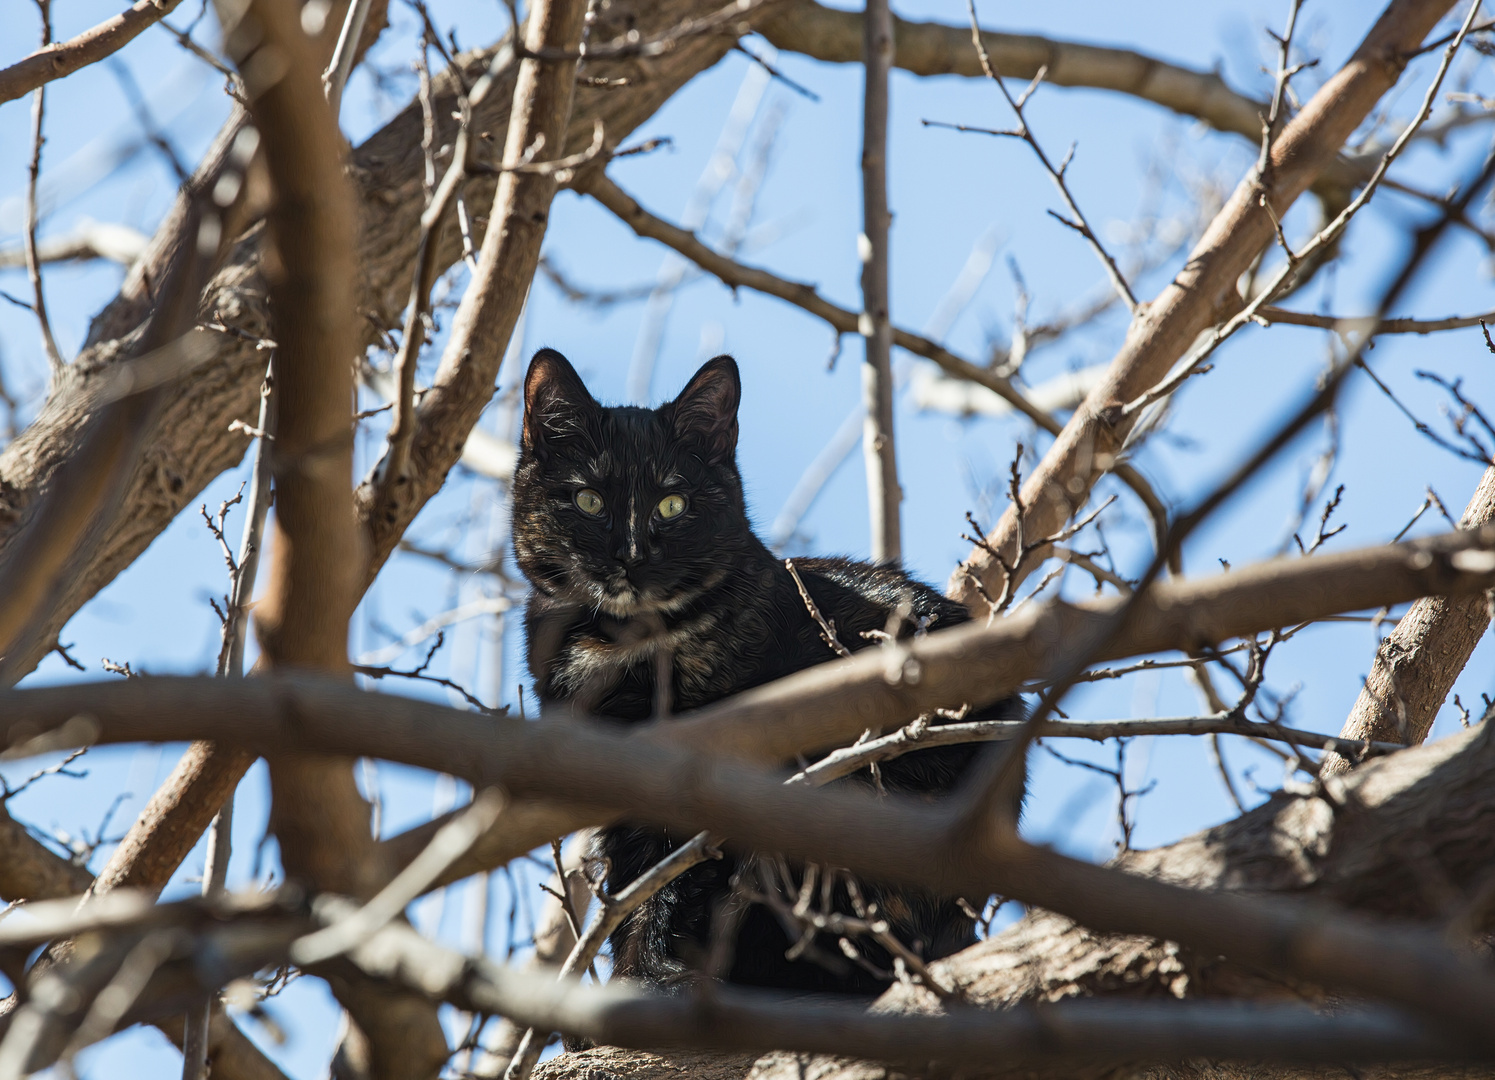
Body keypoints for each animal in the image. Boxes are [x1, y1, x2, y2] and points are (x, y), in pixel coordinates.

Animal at [511, 347, 1016, 993]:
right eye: (588, 501)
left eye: (673, 504)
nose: (631, 557)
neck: (616, 647)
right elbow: (634, 887)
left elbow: (671, 885)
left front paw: (648, 976)